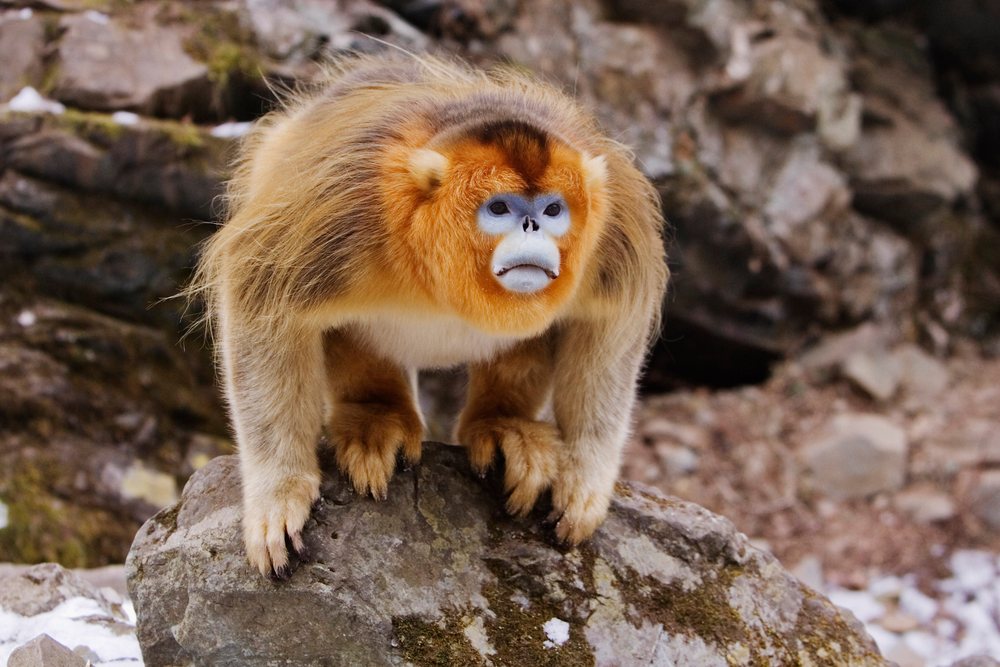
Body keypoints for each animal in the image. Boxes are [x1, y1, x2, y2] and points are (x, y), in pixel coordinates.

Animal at [191, 53, 668, 578]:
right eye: (499, 208)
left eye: (552, 210)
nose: (531, 225)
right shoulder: (340, 207)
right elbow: (260, 306)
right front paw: (278, 495)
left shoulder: (617, 223)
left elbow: (614, 323)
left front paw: (584, 482)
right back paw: (376, 418)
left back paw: (503, 424)